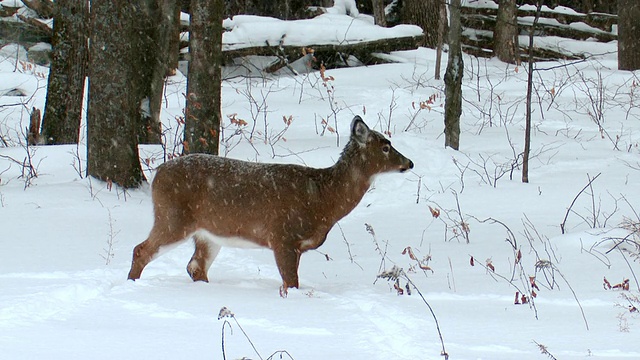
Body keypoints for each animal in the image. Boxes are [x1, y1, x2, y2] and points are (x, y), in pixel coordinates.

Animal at [127, 115, 416, 292]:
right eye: (385, 147)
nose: (410, 162)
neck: (323, 198)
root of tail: (157, 174)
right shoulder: (283, 236)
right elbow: (291, 282)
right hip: (173, 217)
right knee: (141, 249)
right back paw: (131, 285)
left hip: (208, 233)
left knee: (195, 265)